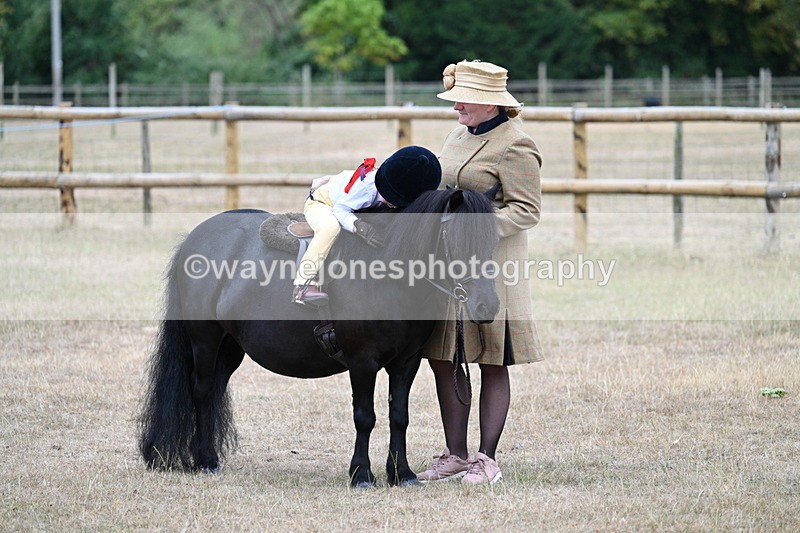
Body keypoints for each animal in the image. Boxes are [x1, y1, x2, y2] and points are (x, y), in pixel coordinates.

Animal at [137, 186, 501, 487]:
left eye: (493, 239)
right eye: (457, 238)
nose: (487, 305)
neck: (387, 272)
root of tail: (195, 238)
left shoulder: (406, 362)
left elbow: (399, 416)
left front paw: (402, 474)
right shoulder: (362, 362)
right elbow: (364, 417)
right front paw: (362, 474)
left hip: (230, 348)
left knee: (213, 391)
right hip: (205, 340)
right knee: (201, 392)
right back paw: (205, 461)